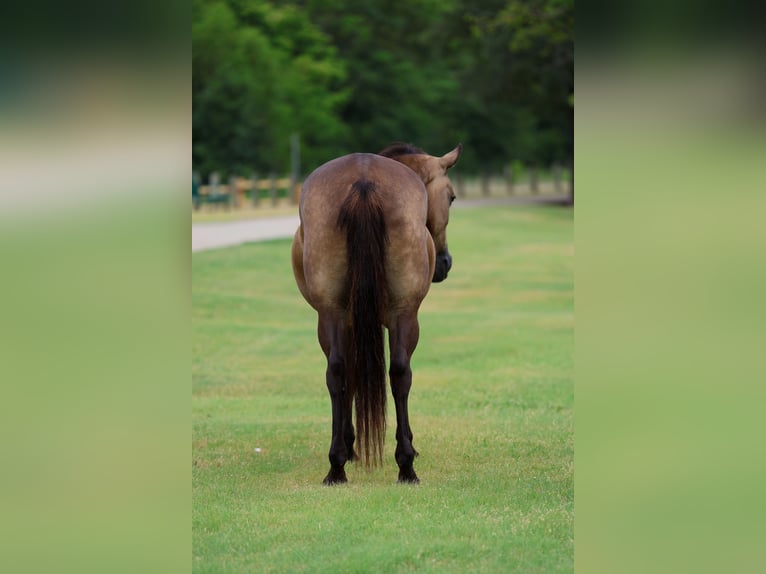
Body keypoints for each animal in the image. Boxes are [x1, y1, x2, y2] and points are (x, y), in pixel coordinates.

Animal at [291, 142, 462, 484]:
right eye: (451, 197)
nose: (445, 262)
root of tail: (363, 182)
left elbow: (352, 376)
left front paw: (348, 446)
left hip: (334, 314)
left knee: (344, 372)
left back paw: (339, 467)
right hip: (402, 315)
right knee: (397, 373)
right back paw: (402, 464)